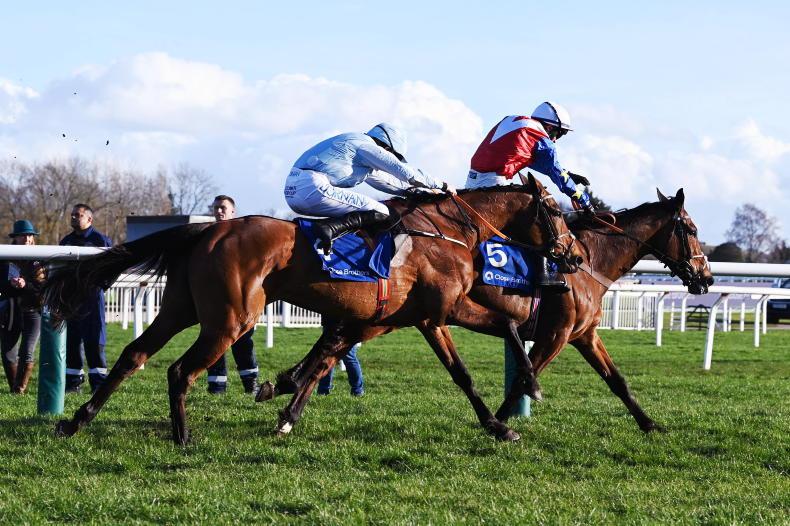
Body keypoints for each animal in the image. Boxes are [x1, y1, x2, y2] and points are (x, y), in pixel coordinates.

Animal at [44, 175, 583, 444]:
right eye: (556, 212)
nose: (574, 256)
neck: (446, 231)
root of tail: (209, 229)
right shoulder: (434, 316)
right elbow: (465, 372)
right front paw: (502, 423)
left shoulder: (398, 316)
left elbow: (507, 323)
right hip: (230, 318)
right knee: (180, 370)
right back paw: (183, 437)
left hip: (180, 308)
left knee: (134, 355)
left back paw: (75, 421)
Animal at [266, 188, 713, 436]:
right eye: (691, 229)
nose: (706, 277)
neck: (590, 259)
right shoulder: (556, 335)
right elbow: (521, 380)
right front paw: (499, 420)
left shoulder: (584, 335)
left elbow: (617, 381)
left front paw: (650, 423)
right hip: (391, 316)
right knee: (333, 348)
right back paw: (287, 398)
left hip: (387, 317)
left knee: (333, 348)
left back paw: (287, 399)